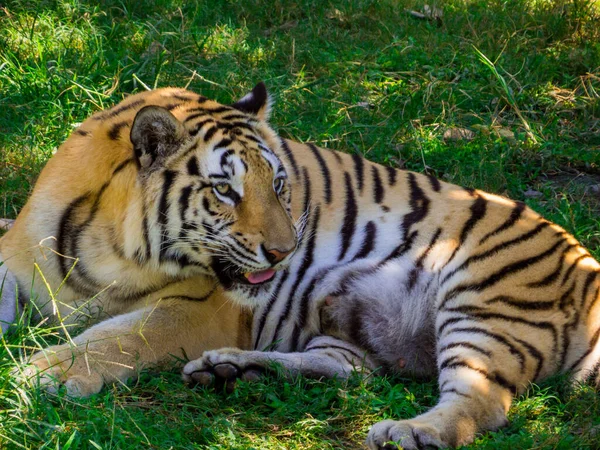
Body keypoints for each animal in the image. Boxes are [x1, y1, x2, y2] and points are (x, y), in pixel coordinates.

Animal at [0, 81, 300, 398]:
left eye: (277, 184)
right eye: (224, 190)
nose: (285, 252)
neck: (106, 251)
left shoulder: (203, 308)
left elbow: (124, 335)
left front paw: (49, 371)